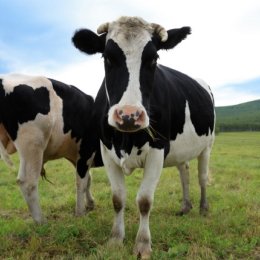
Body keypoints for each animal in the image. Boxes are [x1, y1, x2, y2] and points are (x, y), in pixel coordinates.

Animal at [0, 73, 100, 223]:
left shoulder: (78, 156)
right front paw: (80, 212)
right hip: (33, 144)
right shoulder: (86, 149)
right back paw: (41, 221)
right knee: (27, 182)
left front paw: (90, 204)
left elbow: (88, 179)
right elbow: (81, 182)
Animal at [72, 16, 214, 258]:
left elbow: (145, 200)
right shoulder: (106, 151)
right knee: (184, 173)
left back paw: (203, 208)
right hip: (181, 149)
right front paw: (115, 239)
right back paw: (185, 206)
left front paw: (142, 244)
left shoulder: (158, 149)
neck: (126, 139)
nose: (129, 115)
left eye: (153, 58)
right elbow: (118, 199)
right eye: (107, 57)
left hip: (207, 145)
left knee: (202, 177)